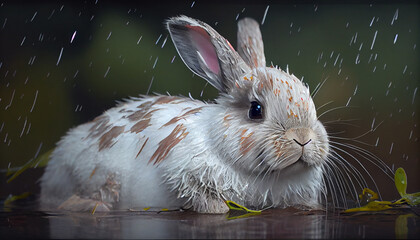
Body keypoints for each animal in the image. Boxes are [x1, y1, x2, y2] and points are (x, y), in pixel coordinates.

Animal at [39, 15, 330, 213]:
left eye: (311, 103)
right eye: (255, 110)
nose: (303, 138)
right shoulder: (181, 176)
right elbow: (205, 202)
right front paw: (220, 209)